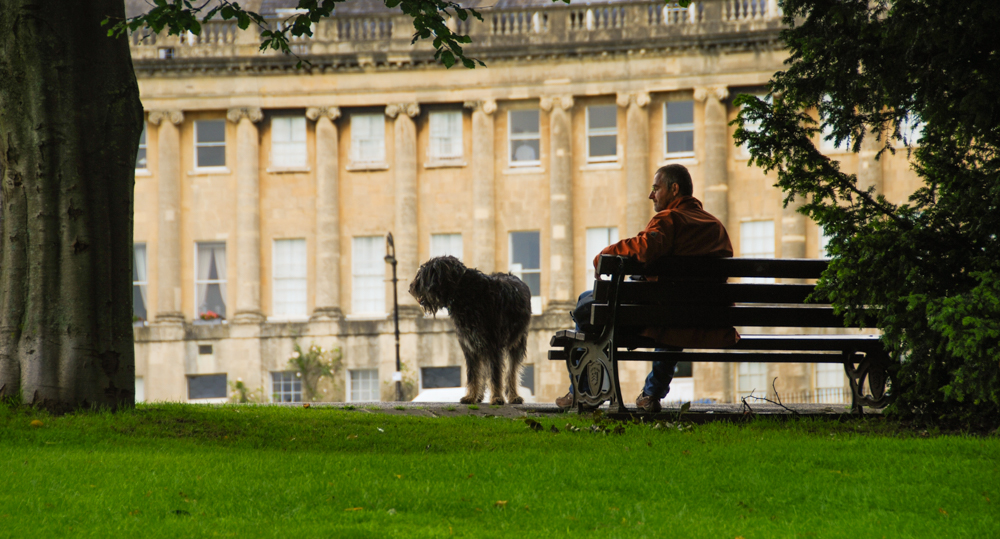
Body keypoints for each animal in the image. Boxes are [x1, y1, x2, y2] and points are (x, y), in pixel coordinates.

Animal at [408, 258, 536, 404]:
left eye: (423, 275)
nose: (410, 289)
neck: (463, 291)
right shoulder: (470, 347)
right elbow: (473, 374)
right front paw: (471, 396)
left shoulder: (493, 346)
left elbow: (495, 375)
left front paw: (496, 397)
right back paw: (480, 395)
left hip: (516, 343)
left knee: (511, 372)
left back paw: (514, 395)